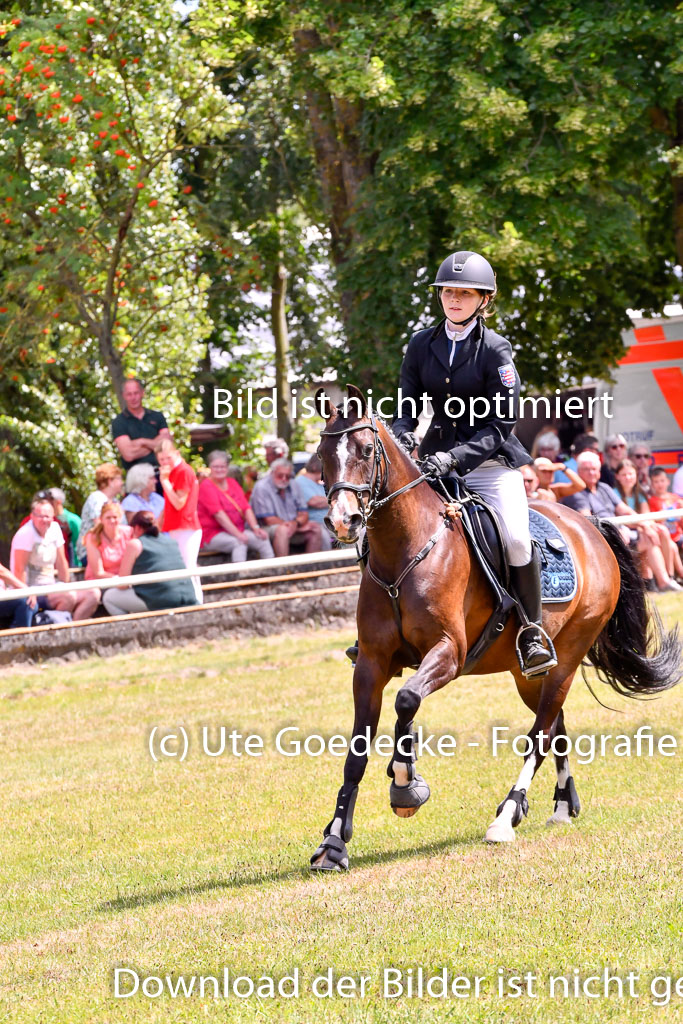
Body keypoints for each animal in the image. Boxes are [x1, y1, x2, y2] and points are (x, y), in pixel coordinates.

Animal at [311, 387, 683, 868]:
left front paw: (405, 784)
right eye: (321, 454)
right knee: (555, 724)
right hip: (528, 672)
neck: (405, 548)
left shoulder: (448, 652)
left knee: (540, 733)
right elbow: (358, 751)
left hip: (567, 656)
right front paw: (333, 842)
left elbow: (407, 699)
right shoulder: (371, 664)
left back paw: (507, 815)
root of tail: (588, 524)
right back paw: (561, 804)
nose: (344, 521)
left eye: (366, 450)